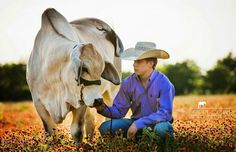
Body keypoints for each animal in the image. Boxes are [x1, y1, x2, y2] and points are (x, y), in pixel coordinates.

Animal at [27, 8, 123, 144]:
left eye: (101, 71)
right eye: (84, 69)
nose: (98, 100)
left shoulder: (81, 102)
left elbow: (77, 131)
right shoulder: (38, 103)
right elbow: (51, 133)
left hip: (112, 94)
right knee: (91, 122)